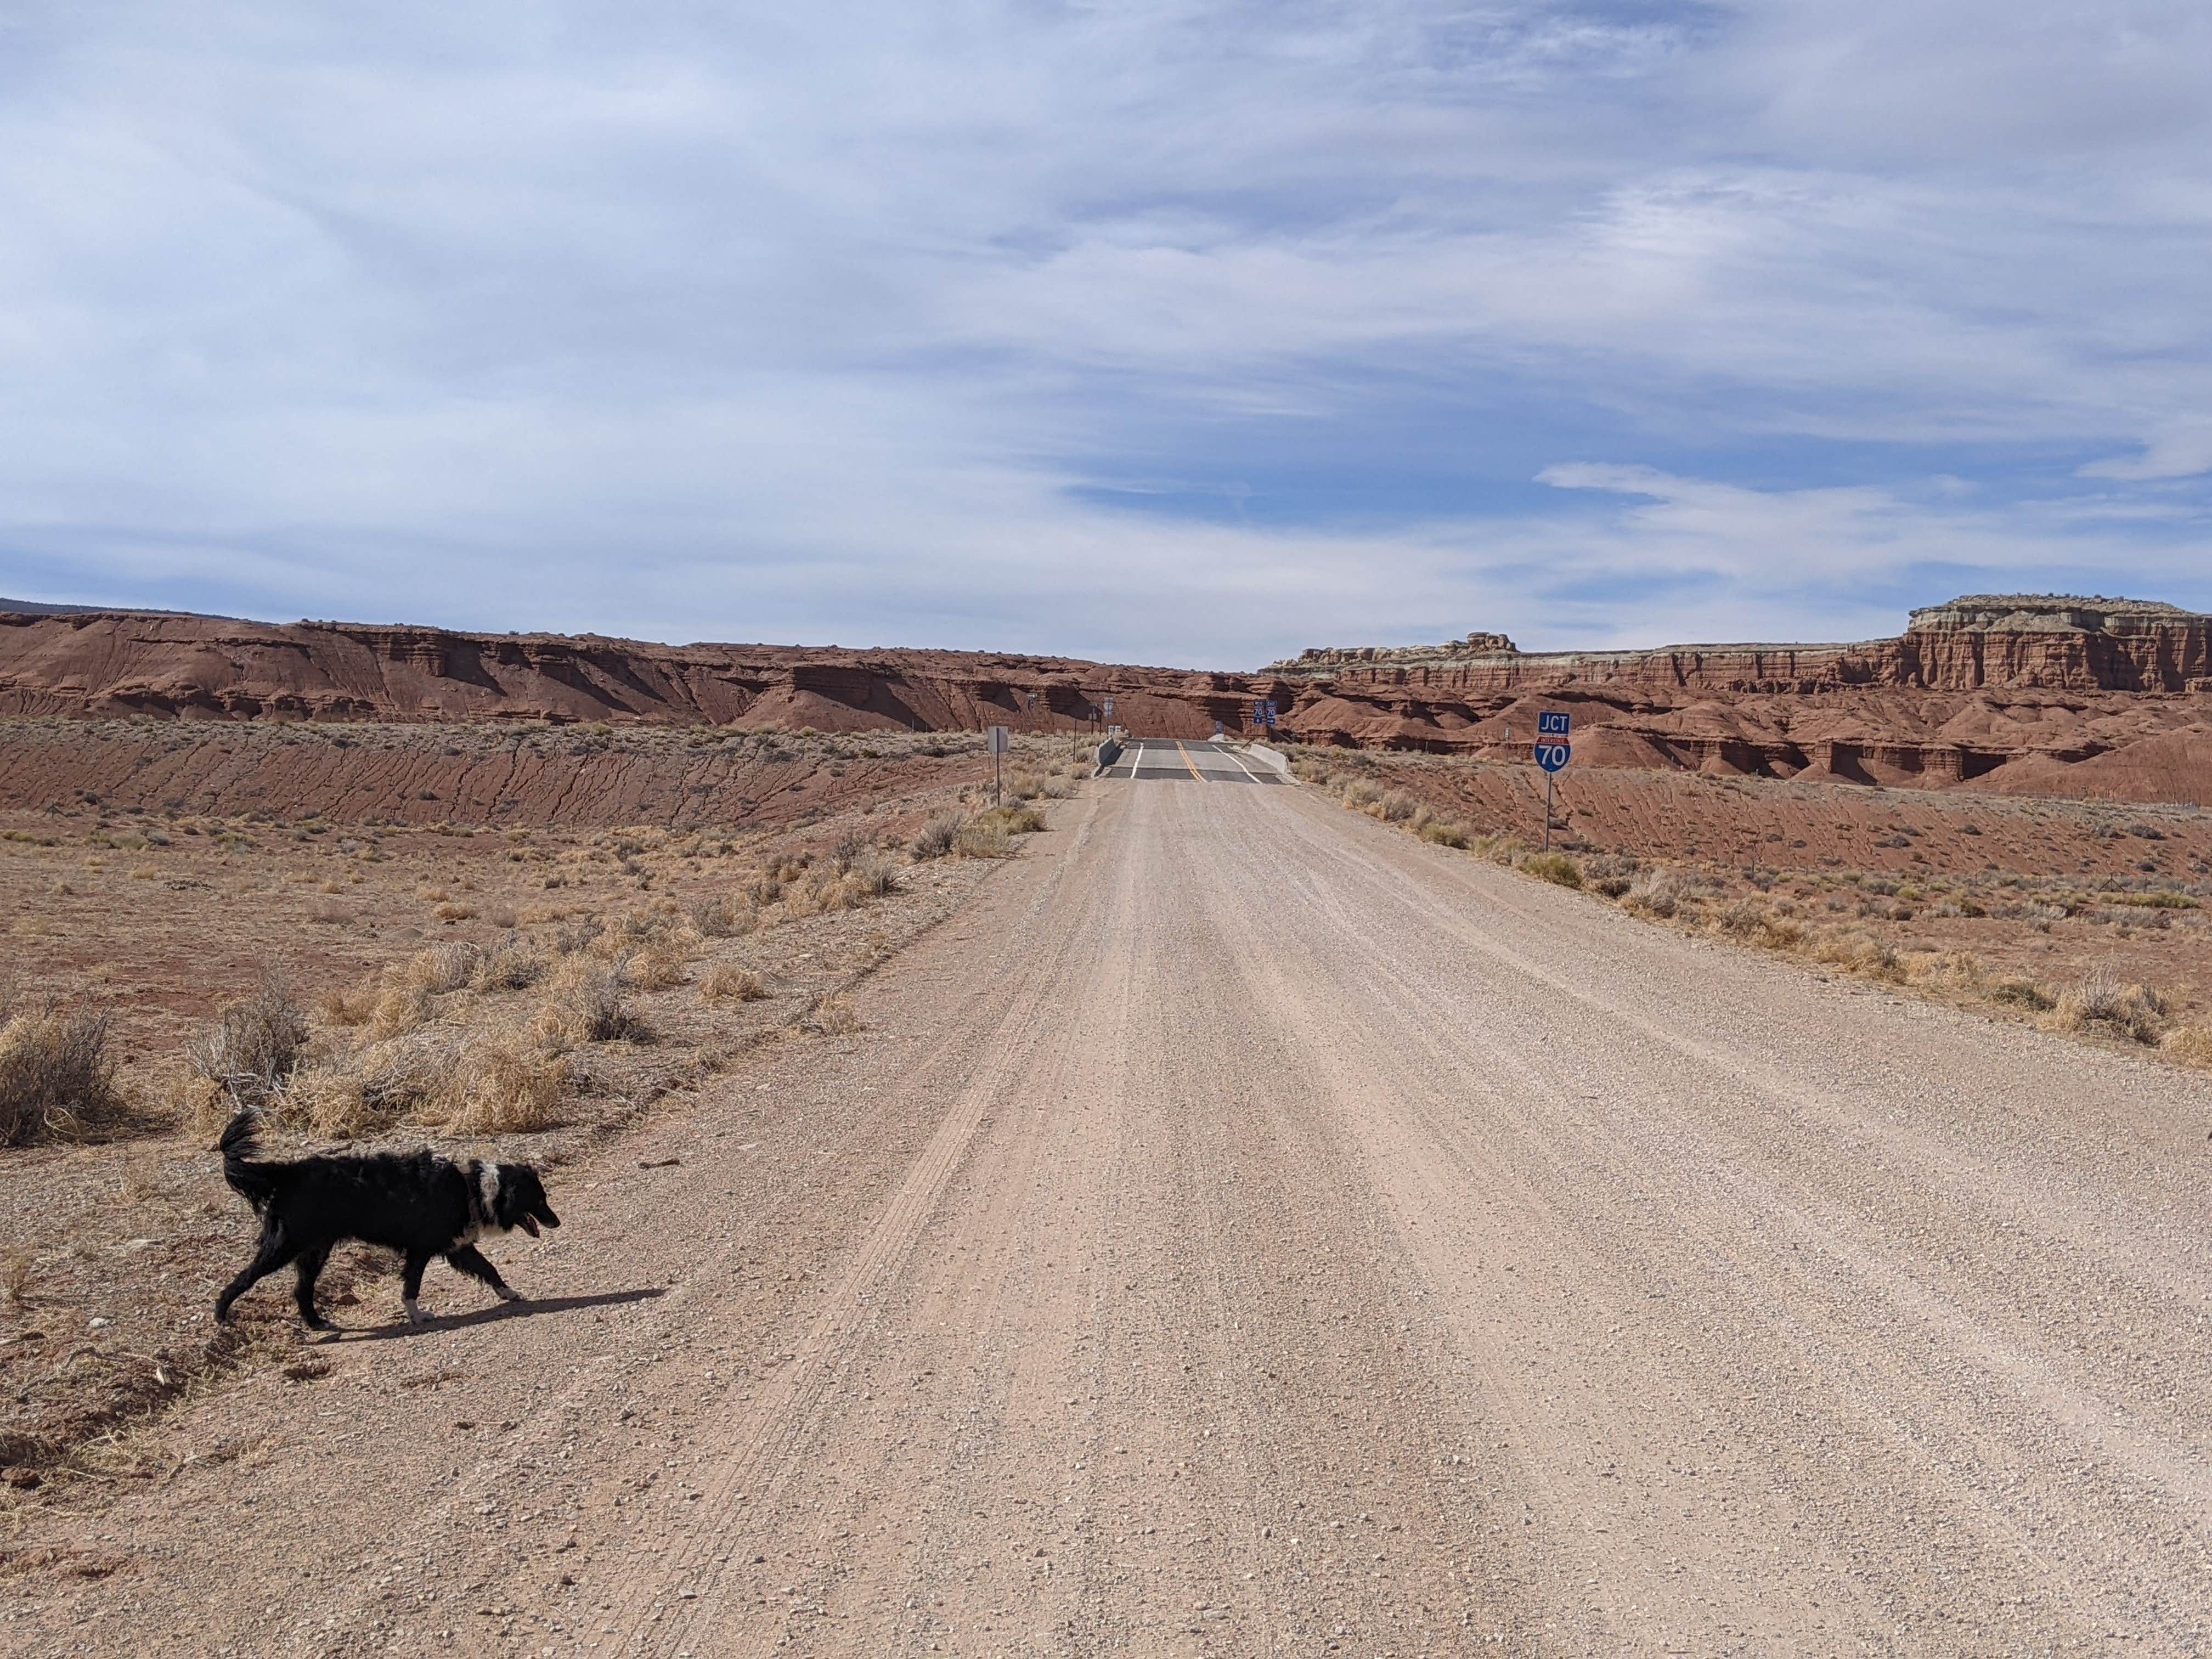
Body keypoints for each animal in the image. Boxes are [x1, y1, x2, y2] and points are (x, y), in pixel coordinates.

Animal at [216, 1110, 562, 1336]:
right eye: (540, 1200)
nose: (557, 1222)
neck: (474, 1189)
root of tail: (289, 1172)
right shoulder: (422, 1250)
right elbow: (412, 1286)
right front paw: (417, 1316)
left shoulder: (457, 1247)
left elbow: (489, 1269)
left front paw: (509, 1293)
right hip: (284, 1245)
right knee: (245, 1278)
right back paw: (221, 1314)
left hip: (315, 1250)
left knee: (302, 1290)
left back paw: (316, 1323)